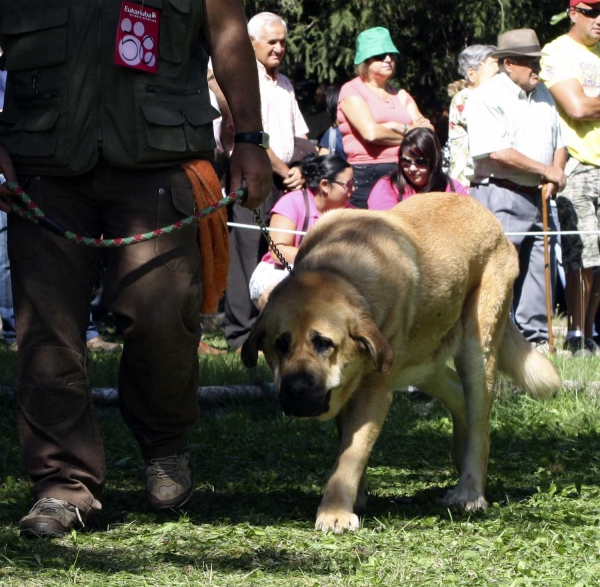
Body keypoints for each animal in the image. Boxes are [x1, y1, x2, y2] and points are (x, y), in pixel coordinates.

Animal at [241, 193, 560, 532]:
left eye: (324, 343)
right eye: (280, 344)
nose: (297, 390)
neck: (341, 271)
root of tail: (486, 215)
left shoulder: (374, 392)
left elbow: (351, 453)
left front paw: (335, 511)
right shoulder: (352, 385)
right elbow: (346, 442)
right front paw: (357, 496)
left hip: (476, 349)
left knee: (479, 423)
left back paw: (469, 491)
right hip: (422, 356)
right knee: (455, 392)